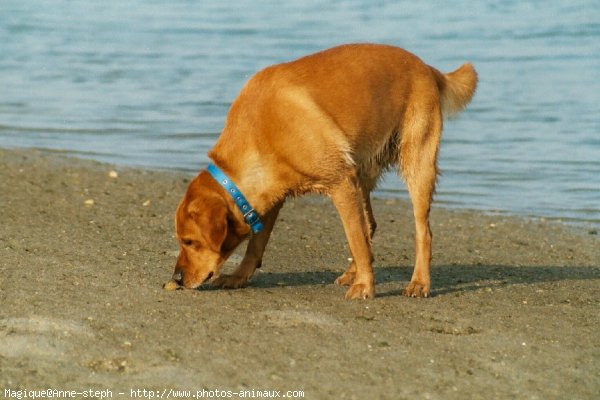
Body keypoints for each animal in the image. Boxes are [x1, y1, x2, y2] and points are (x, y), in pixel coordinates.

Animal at [171, 44, 476, 300]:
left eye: (189, 241)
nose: (176, 279)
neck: (261, 135)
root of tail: (426, 67)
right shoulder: (272, 197)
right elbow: (256, 245)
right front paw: (238, 276)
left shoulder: (340, 182)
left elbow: (356, 240)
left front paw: (365, 286)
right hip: (362, 172)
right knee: (369, 225)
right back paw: (353, 273)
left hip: (416, 164)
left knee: (421, 232)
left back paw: (419, 282)